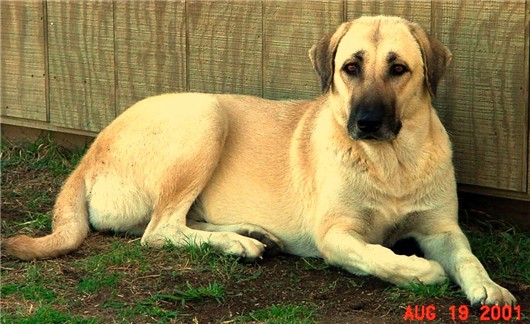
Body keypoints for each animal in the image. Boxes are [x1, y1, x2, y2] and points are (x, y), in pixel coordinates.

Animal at [4, 15, 512, 306]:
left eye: (399, 68)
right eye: (350, 68)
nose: (365, 122)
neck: (392, 162)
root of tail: (88, 155)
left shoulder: (442, 229)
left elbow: (467, 257)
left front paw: (490, 287)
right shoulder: (336, 236)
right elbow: (380, 256)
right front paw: (422, 272)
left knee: (172, 223)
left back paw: (249, 233)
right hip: (205, 116)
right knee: (159, 230)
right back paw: (237, 244)